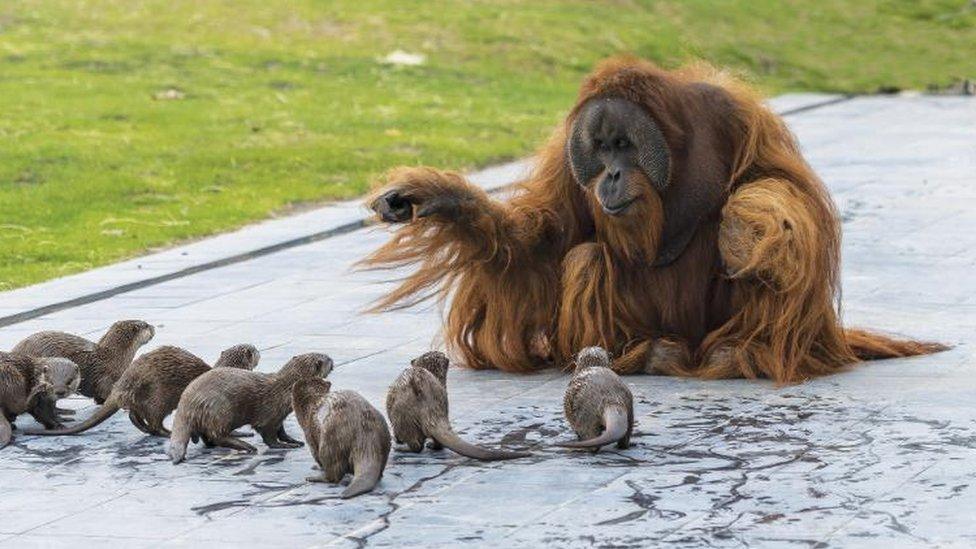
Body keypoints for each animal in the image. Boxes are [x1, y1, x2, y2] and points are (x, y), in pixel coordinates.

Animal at [26, 342, 262, 436]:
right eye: (254, 350)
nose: (258, 349)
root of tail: (124, 382)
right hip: (159, 396)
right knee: (153, 420)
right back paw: (166, 433)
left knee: (135, 415)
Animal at [167, 352, 332, 462]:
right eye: (327, 359)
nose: (332, 359)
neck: (285, 391)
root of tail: (187, 401)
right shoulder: (269, 414)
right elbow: (269, 436)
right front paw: (282, 445)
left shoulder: (279, 415)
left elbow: (282, 431)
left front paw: (294, 441)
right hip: (221, 410)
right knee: (217, 435)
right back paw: (246, 446)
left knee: (207, 437)